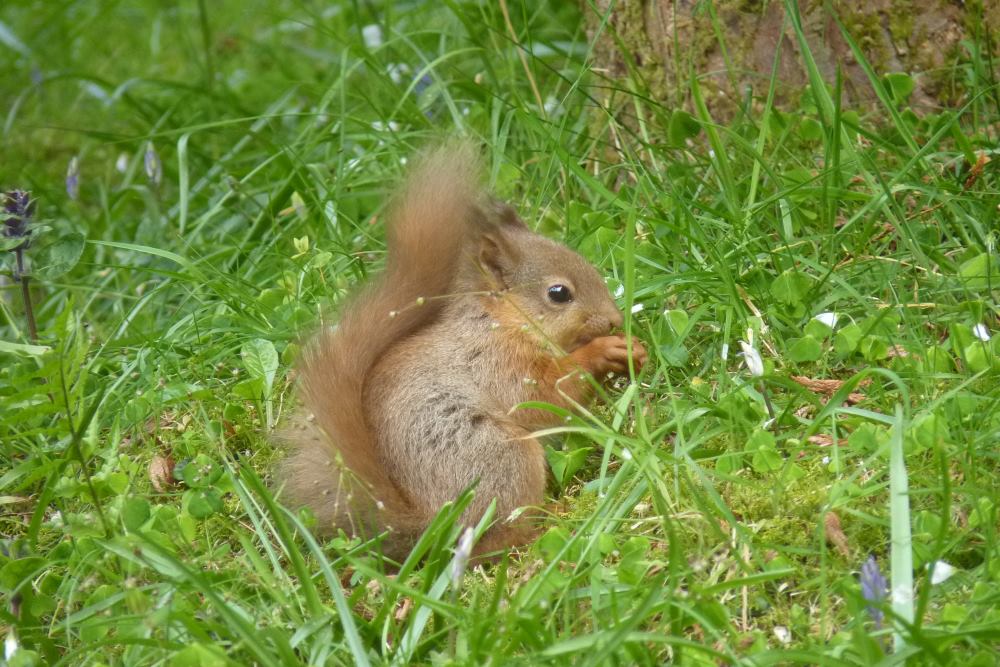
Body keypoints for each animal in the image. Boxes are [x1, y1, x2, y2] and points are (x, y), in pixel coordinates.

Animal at [280, 144, 647, 560]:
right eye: (558, 293)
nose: (615, 319)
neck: (499, 321)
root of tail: (432, 526)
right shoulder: (496, 361)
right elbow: (545, 395)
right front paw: (604, 351)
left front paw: (633, 352)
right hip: (502, 458)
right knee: (496, 539)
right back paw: (549, 528)